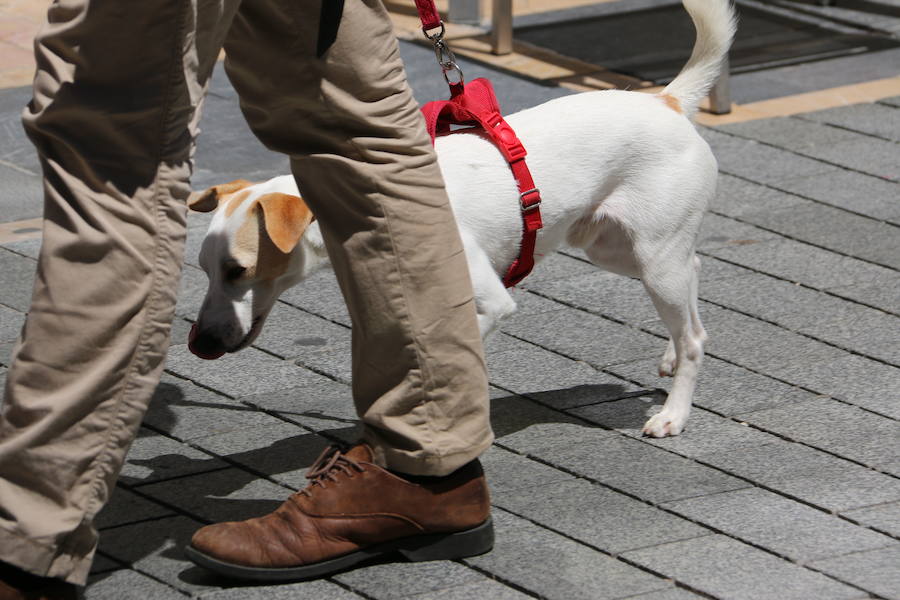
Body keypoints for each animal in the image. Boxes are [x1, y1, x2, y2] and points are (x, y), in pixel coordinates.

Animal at [186, 0, 736, 436]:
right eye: (204, 271)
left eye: (238, 270)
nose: (199, 344)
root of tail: (667, 100)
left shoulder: (488, 304)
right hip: (615, 247)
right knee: (693, 275)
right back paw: (670, 354)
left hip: (651, 256)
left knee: (695, 337)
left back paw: (674, 413)